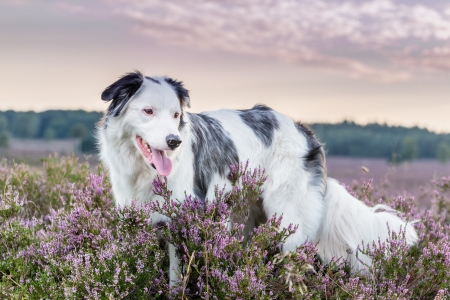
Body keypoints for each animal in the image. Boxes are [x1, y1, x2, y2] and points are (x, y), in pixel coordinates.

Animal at [96, 71, 418, 284]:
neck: (143, 172)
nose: (174, 141)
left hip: (289, 221)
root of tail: (304, 130)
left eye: (176, 115)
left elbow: (178, 277)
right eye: (148, 111)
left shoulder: (184, 220)